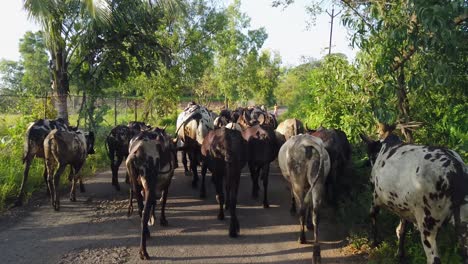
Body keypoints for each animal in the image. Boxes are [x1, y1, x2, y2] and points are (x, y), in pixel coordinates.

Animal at [125, 128, 175, 260]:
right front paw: (163, 220)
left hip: (137, 186)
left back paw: (147, 232)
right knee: (144, 213)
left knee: (140, 209)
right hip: (148, 186)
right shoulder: (167, 184)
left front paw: (154, 218)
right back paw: (143, 251)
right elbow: (163, 202)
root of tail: (135, 154)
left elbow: (154, 203)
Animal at [362, 134, 468, 264]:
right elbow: (401, 230)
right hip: (462, 226)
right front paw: (400, 253)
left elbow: (373, 217)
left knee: (434, 259)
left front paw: (374, 242)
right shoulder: (404, 208)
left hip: (427, 227)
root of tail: (457, 171)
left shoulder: (376, 197)